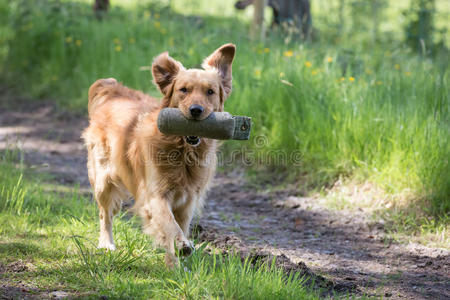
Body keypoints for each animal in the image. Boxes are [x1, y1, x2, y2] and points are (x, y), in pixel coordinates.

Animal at [81, 43, 236, 266]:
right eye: (183, 90)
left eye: (210, 92)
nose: (196, 110)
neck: (182, 152)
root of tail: (112, 88)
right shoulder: (155, 195)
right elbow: (170, 225)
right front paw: (181, 247)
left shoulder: (188, 202)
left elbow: (178, 227)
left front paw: (175, 266)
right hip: (103, 181)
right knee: (105, 214)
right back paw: (106, 244)